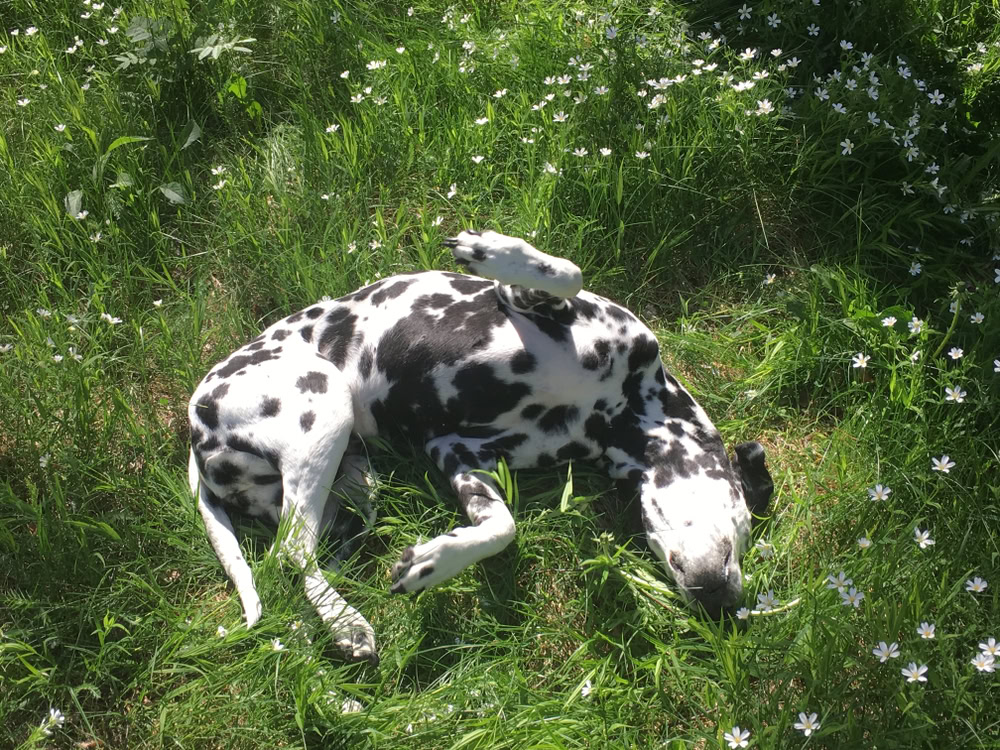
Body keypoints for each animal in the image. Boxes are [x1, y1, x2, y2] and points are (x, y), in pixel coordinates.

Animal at [189, 229, 772, 664]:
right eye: (743, 527)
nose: (726, 605)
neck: (620, 411)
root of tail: (194, 439)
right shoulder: (533, 304)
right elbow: (567, 270)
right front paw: (491, 249)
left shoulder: (460, 454)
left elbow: (501, 527)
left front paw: (433, 561)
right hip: (323, 406)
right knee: (291, 550)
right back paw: (347, 622)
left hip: (340, 486)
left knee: (306, 551)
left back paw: (338, 619)